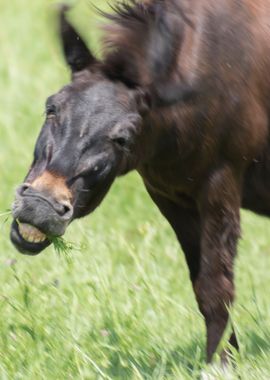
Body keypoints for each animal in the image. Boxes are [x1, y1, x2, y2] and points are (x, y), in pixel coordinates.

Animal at [10, 0, 270, 362]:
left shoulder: (220, 186)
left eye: (123, 138)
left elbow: (218, 287)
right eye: (52, 107)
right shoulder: (171, 196)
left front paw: (219, 365)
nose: (40, 205)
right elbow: (203, 287)